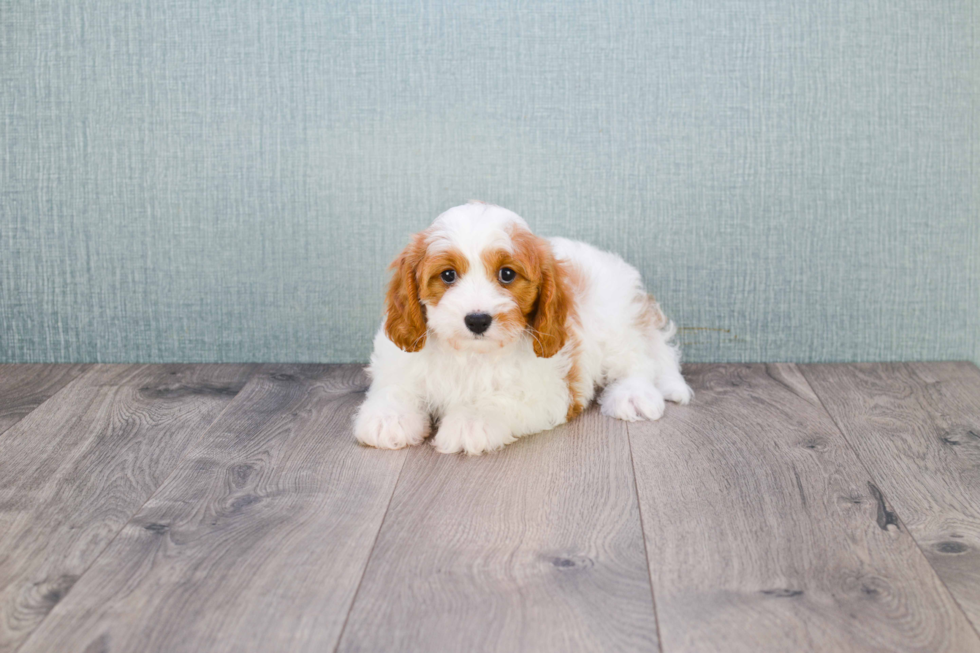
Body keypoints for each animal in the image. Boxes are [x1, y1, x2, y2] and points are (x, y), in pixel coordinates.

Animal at [352, 202, 688, 454]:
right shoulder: (400, 360)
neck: (470, 355)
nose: (477, 319)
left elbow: (502, 399)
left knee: (638, 362)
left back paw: (632, 396)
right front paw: (388, 417)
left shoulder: (550, 391)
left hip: (618, 323)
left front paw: (472, 421)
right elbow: (395, 385)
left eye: (507, 274)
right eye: (447, 275)